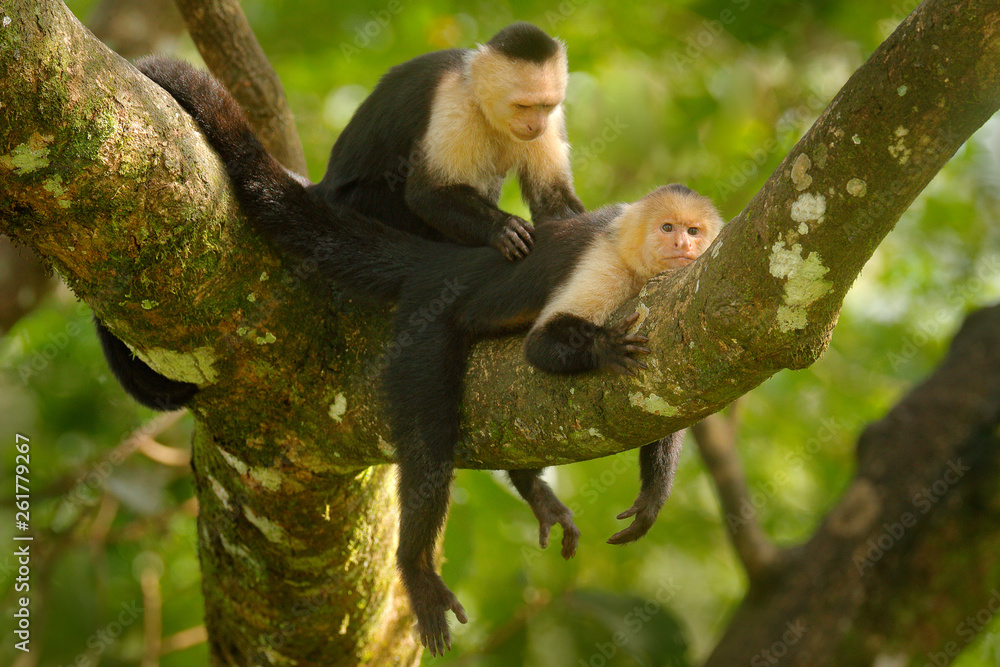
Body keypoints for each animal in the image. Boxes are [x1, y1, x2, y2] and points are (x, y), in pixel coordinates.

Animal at [308, 21, 584, 260]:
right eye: (522, 106)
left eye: (545, 106)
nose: (535, 125)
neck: (485, 109)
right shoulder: (456, 102)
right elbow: (429, 192)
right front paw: (504, 227)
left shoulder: (552, 120)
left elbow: (552, 198)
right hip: (358, 201)